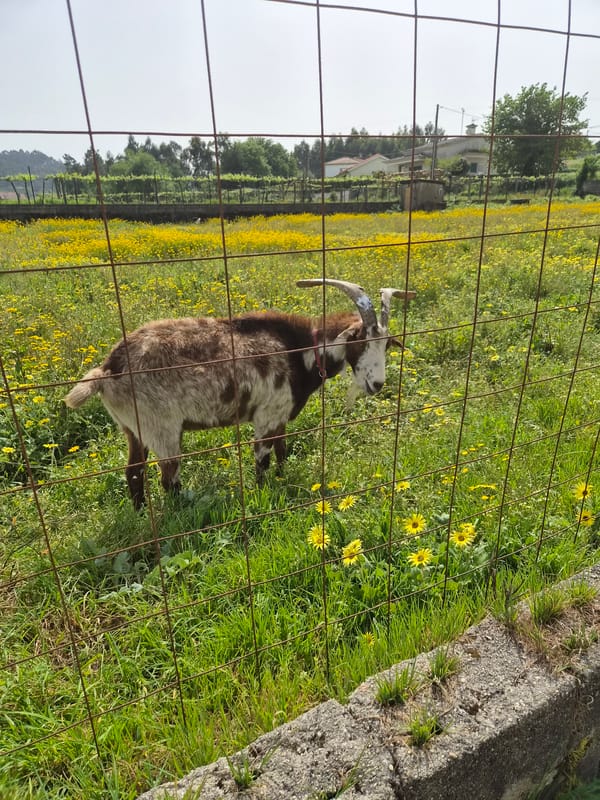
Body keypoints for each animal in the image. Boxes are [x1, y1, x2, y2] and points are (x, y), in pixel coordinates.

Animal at [64, 279, 415, 509]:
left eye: (387, 344)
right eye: (360, 340)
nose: (377, 384)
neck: (298, 350)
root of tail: (109, 369)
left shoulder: (279, 416)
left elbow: (282, 451)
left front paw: (282, 481)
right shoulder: (266, 416)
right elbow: (262, 460)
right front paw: (262, 495)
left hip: (133, 428)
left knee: (134, 473)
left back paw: (140, 515)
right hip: (162, 428)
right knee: (168, 478)